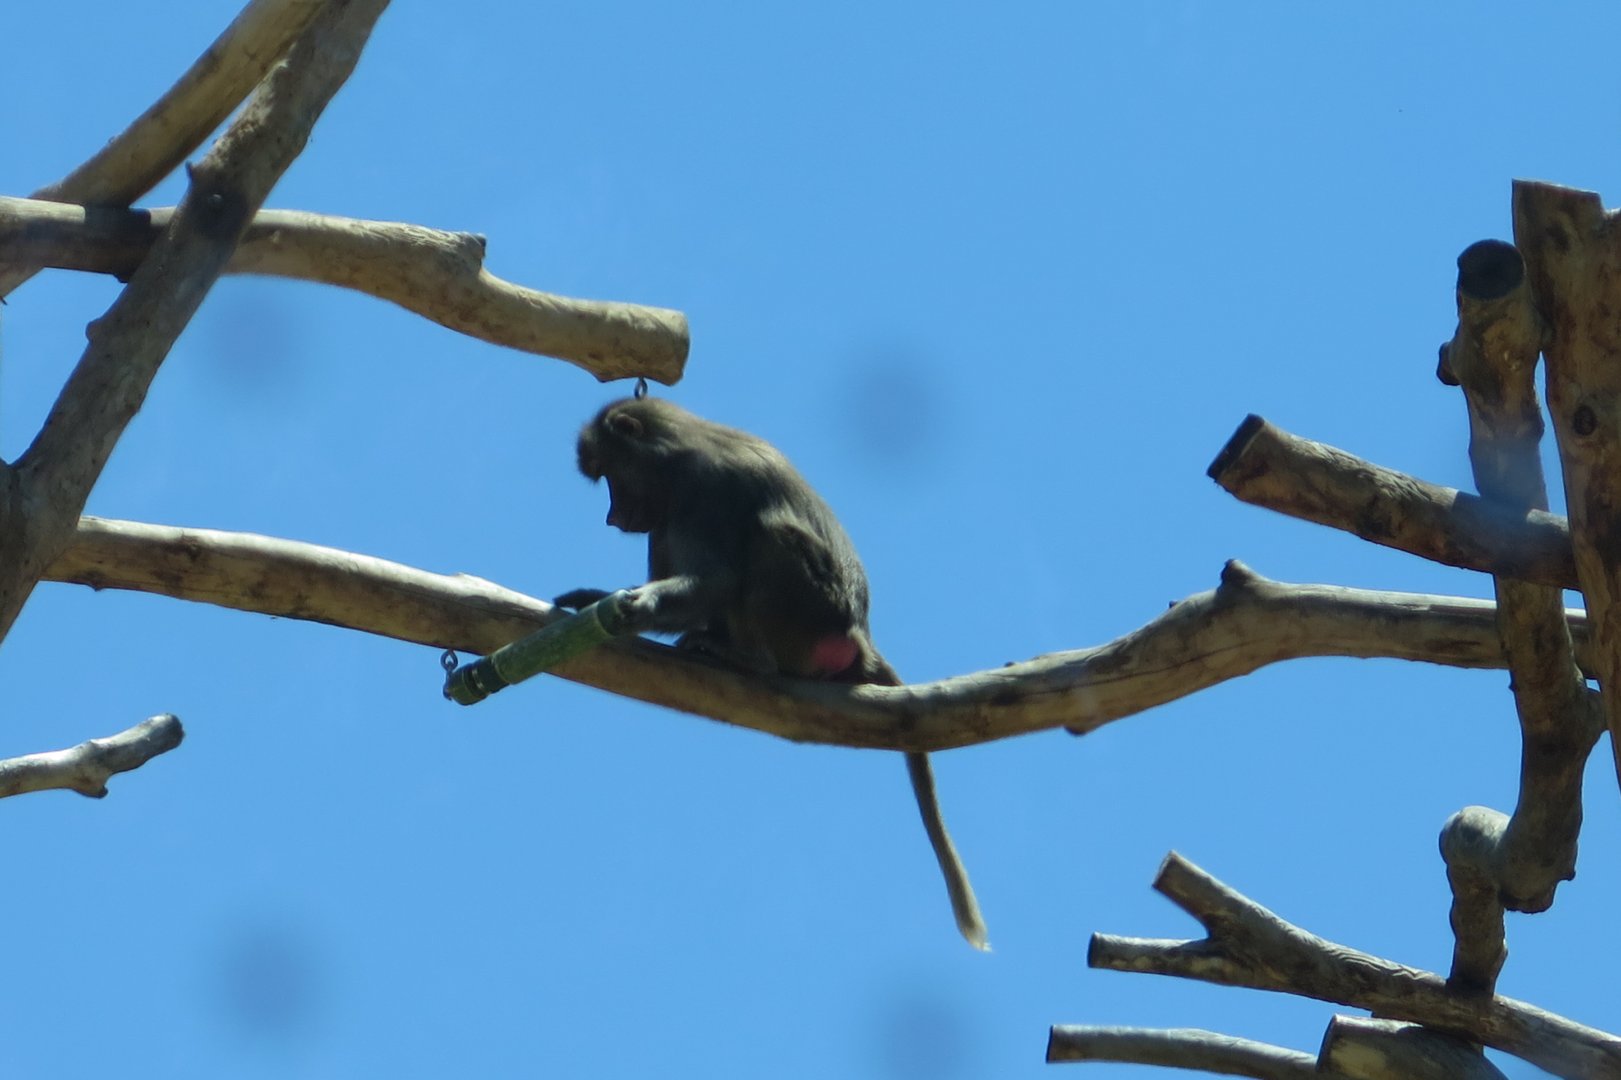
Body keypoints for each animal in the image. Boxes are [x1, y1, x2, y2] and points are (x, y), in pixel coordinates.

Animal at [555, 395, 988, 950]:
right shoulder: (665, 511)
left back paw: (746, 659)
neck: (677, 455)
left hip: (809, 617)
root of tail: (859, 635)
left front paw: (640, 605)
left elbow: (715, 580)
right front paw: (598, 602)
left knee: (769, 537)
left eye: (609, 475)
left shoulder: (705, 492)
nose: (612, 518)